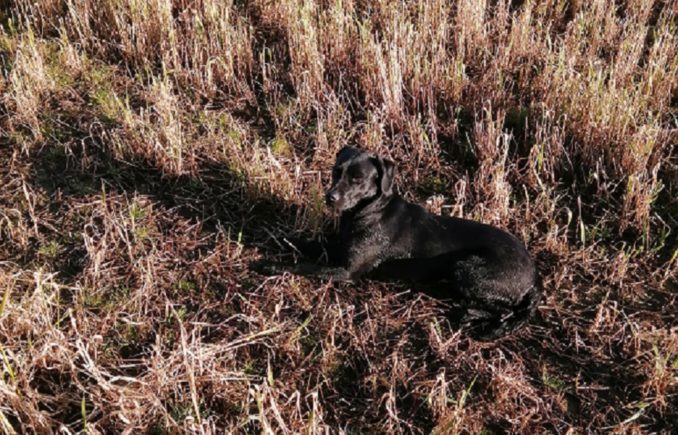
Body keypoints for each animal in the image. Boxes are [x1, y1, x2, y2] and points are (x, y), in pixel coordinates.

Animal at [255, 146, 540, 340]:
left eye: (357, 179)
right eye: (336, 172)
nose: (330, 197)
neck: (370, 211)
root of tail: (533, 278)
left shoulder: (347, 271)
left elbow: (303, 265)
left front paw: (271, 265)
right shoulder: (338, 248)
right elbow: (307, 244)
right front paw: (278, 238)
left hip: (467, 269)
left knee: (506, 311)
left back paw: (468, 314)